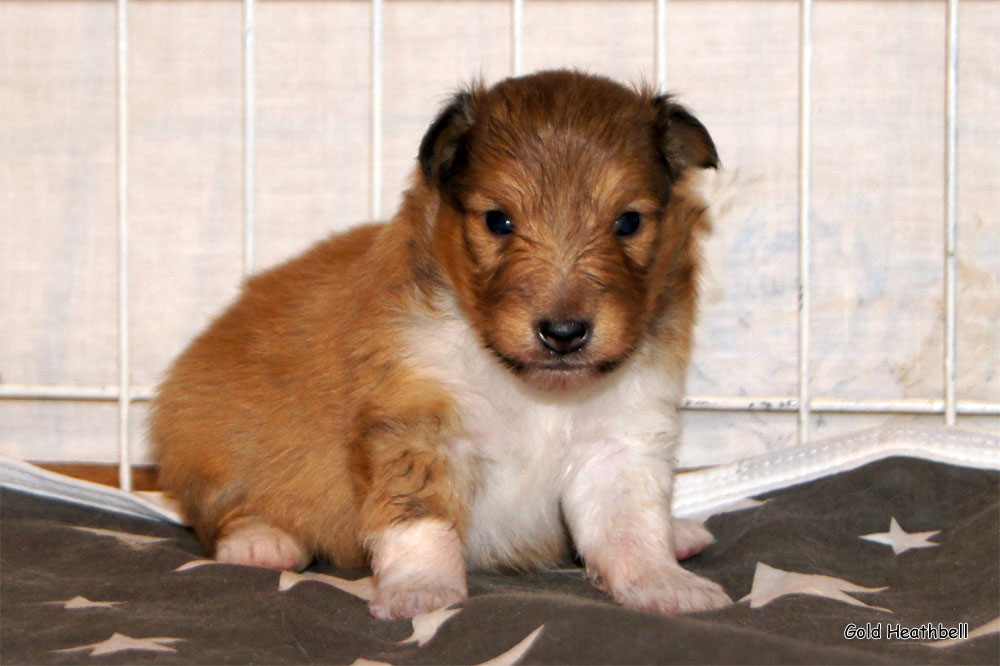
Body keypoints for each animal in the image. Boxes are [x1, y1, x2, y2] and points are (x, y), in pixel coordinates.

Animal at [158, 68, 736, 616]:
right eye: (498, 220)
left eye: (629, 221)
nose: (564, 334)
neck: (533, 389)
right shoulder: (418, 426)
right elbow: (420, 523)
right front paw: (420, 593)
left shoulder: (619, 440)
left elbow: (630, 527)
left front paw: (665, 584)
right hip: (218, 440)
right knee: (223, 512)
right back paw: (263, 542)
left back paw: (679, 535)